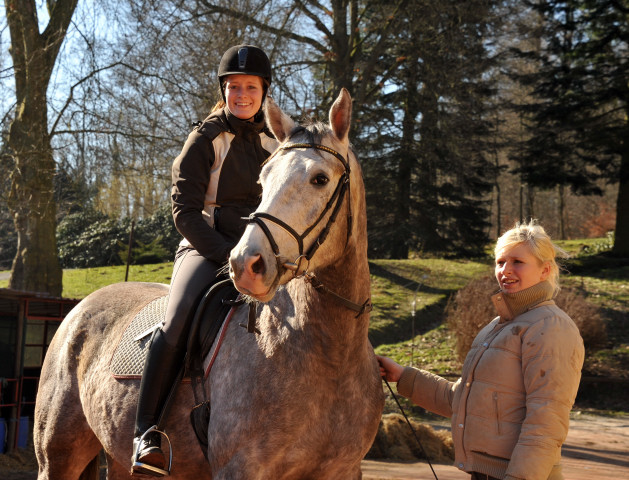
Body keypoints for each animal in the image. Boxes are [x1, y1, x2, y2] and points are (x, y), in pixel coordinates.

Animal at [34, 88, 382, 478]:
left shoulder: (343, 470)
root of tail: (78, 310)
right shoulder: (239, 467)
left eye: (320, 179)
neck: (328, 354)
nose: (245, 263)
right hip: (57, 456)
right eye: (264, 179)